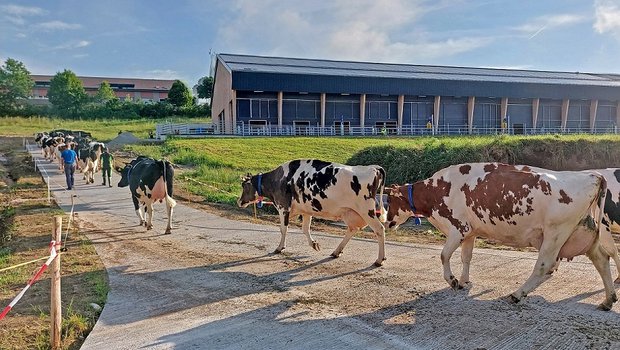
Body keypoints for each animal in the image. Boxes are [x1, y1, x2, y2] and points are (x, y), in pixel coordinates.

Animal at [237, 159, 388, 266]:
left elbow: (283, 229)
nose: (239, 201)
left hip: (366, 211)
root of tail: (373, 167)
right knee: (352, 229)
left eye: (244, 186)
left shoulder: (283, 207)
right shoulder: (306, 210)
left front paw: (280, 248)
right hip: (350, 212)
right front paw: (314, 244)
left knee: (379, 229)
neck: (278, 179)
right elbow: (305, 229)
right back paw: (336, 252)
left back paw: (379, 260)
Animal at [386, 163, 616, 310]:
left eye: (389, 201)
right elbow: (466, 257)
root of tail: (592, 175)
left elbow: (444, 255)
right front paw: (464, 281)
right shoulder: (470, 232)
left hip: (556, 233)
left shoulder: (458, 228)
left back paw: (517, 294)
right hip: (585, 233)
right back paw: (608, 299)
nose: (387, 222)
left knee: (545, 266)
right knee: (602, 259)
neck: (439, 188)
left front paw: (453, 281)